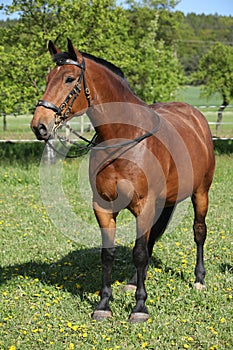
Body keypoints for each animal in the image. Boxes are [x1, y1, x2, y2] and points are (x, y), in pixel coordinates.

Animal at [30, 39, 215, 322]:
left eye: (69, 78)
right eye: (48, 78)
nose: (39, 125)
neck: (124, 137)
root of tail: (197, 118)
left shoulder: (144, 205)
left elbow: (138, 253)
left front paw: (139, 308)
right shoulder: (103, 206)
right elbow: (109, 253)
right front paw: (104, 304)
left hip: (201, 192)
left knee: (198, 232)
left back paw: (199, 280)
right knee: (151, 239)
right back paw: (132, 281)